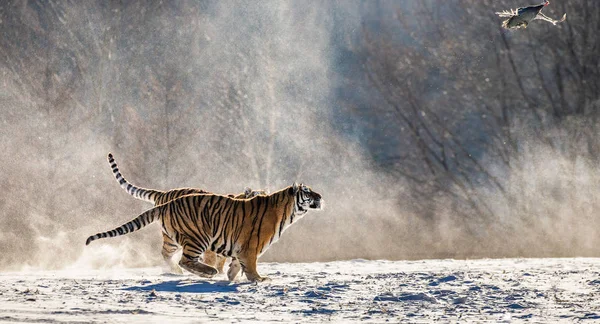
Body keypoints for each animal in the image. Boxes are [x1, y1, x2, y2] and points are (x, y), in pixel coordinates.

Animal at [84, 184, 324, 282]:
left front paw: (232, 276)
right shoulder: (251, 246)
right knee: (184, 260)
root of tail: (167, 202)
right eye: (308, 192)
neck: (288, 212)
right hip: (198, 237)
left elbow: (237, 264)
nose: (321, 196)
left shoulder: (240, 247)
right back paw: (208, 272)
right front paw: (259, 279)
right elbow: (250, 265)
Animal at [105, 153, 268, 280]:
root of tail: (163, 193)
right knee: (165, 252)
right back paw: (176, 270)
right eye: (256, 197)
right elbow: (211, 259)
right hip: (173, 239)